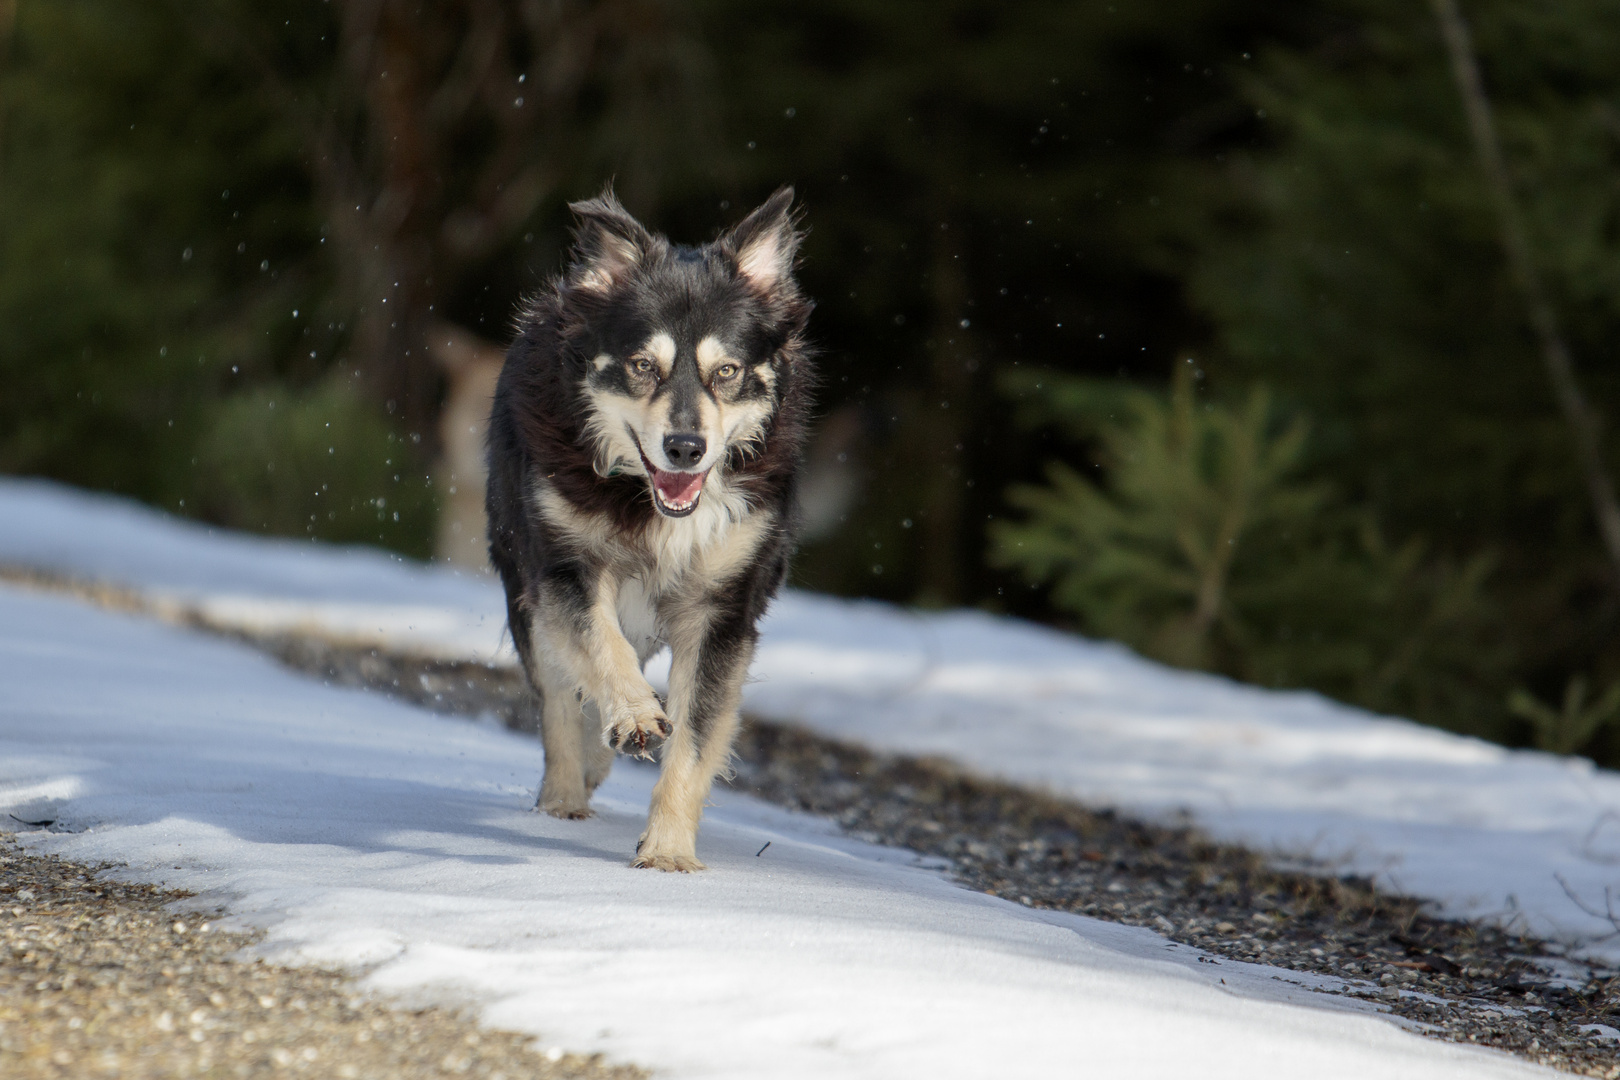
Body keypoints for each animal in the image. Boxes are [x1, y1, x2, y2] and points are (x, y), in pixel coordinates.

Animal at [479, 187, 810, 867]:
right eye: (640, 366)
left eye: (727, 371)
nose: (685, 448)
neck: (648, 501)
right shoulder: (565, 568)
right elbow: (600, 647)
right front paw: (632, 715)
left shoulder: (722, 611)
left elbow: (694, 738)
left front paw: (668, 852)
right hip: (523, 581)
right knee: (559, 698)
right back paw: (565, 796)